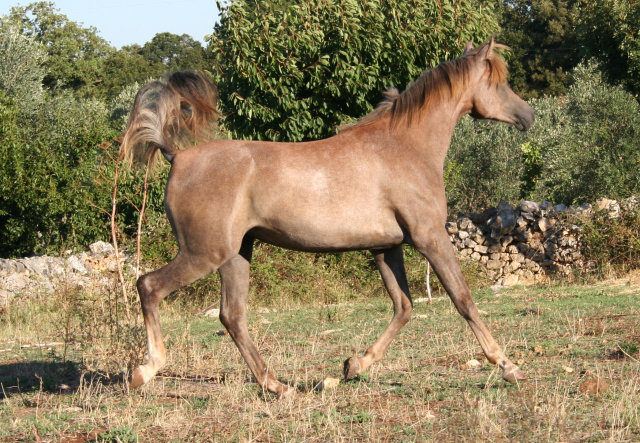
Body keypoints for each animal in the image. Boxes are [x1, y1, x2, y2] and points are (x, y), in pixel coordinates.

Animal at [121, 39, 536, 398]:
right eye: (498, 81)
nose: (528, 115)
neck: (405, 147)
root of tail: (178, 155)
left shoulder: (386, 247)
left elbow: (403, 307)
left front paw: (351, 366)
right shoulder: (429, 237)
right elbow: (462, 300)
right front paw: (509, 366)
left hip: (237, 253)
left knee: (232, 317)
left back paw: (278, 387)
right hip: (204, 253)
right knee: (149, 286)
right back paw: (145, 370)